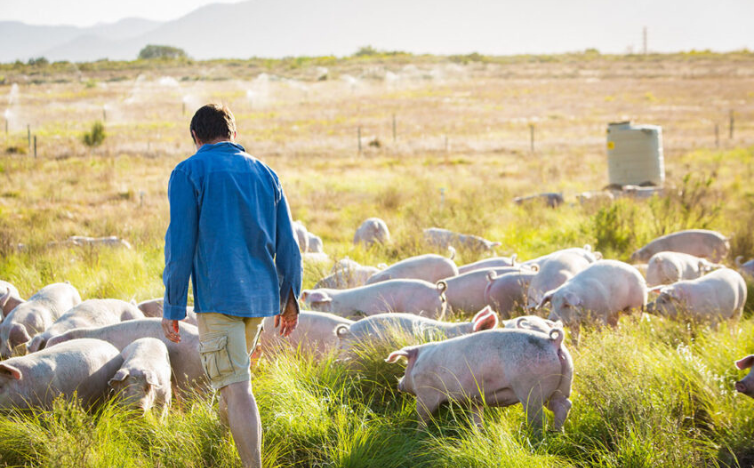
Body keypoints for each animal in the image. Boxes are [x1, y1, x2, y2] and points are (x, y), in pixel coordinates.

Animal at [384, 326, 572, 432]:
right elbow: (476, 419)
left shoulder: (426, 392)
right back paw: (557, 432)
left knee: (539, 417)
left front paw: (419, 434)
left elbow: (423, 415)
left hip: (532, 388)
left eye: (406, 367)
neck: (419, 362)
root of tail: (553, 342)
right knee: (563, 405)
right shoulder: (474, 400)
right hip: (562, 385)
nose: (399, 384)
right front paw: (478, 434)